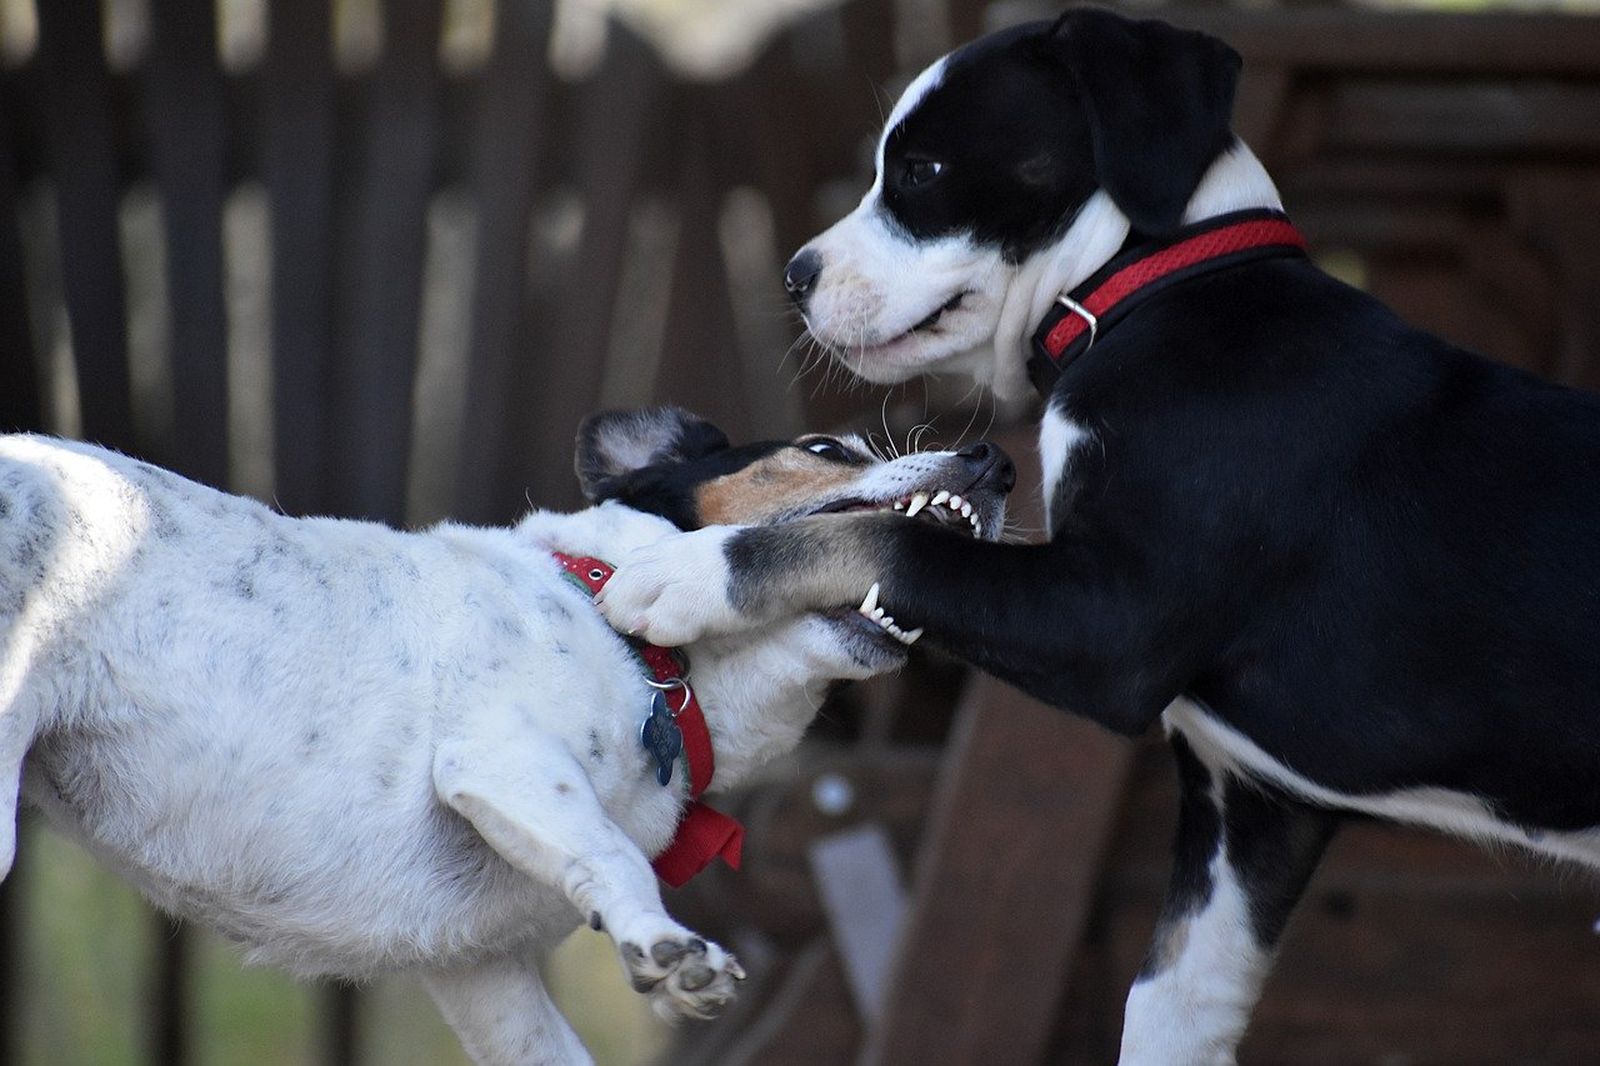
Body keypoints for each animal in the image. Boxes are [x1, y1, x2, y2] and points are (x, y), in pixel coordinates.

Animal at [0, 404, 1004, 1056]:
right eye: (824, 447)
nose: (995, 462)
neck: (623, 629)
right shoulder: (502, 762)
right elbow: (616, 856)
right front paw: (664, 945)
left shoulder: (487, 979)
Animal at [598, 6, 1600, 1056]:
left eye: (921, 170)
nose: (795, 276)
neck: (1151, 296)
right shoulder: (1251, 815)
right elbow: (1165, 1010)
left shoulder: (1111, 626)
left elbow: (893, 541)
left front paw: (685, 572)